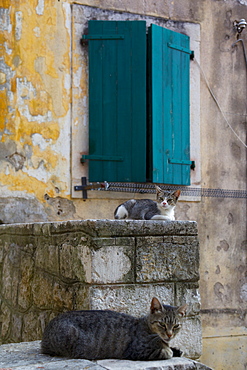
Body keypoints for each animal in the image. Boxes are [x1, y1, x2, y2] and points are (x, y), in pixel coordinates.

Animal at [41, 298, 186, 362]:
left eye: (176, 326)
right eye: (162, 324)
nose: (170, 334)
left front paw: (176, 349)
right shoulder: (136, 351)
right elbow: (164, 352)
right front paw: (169, 351)